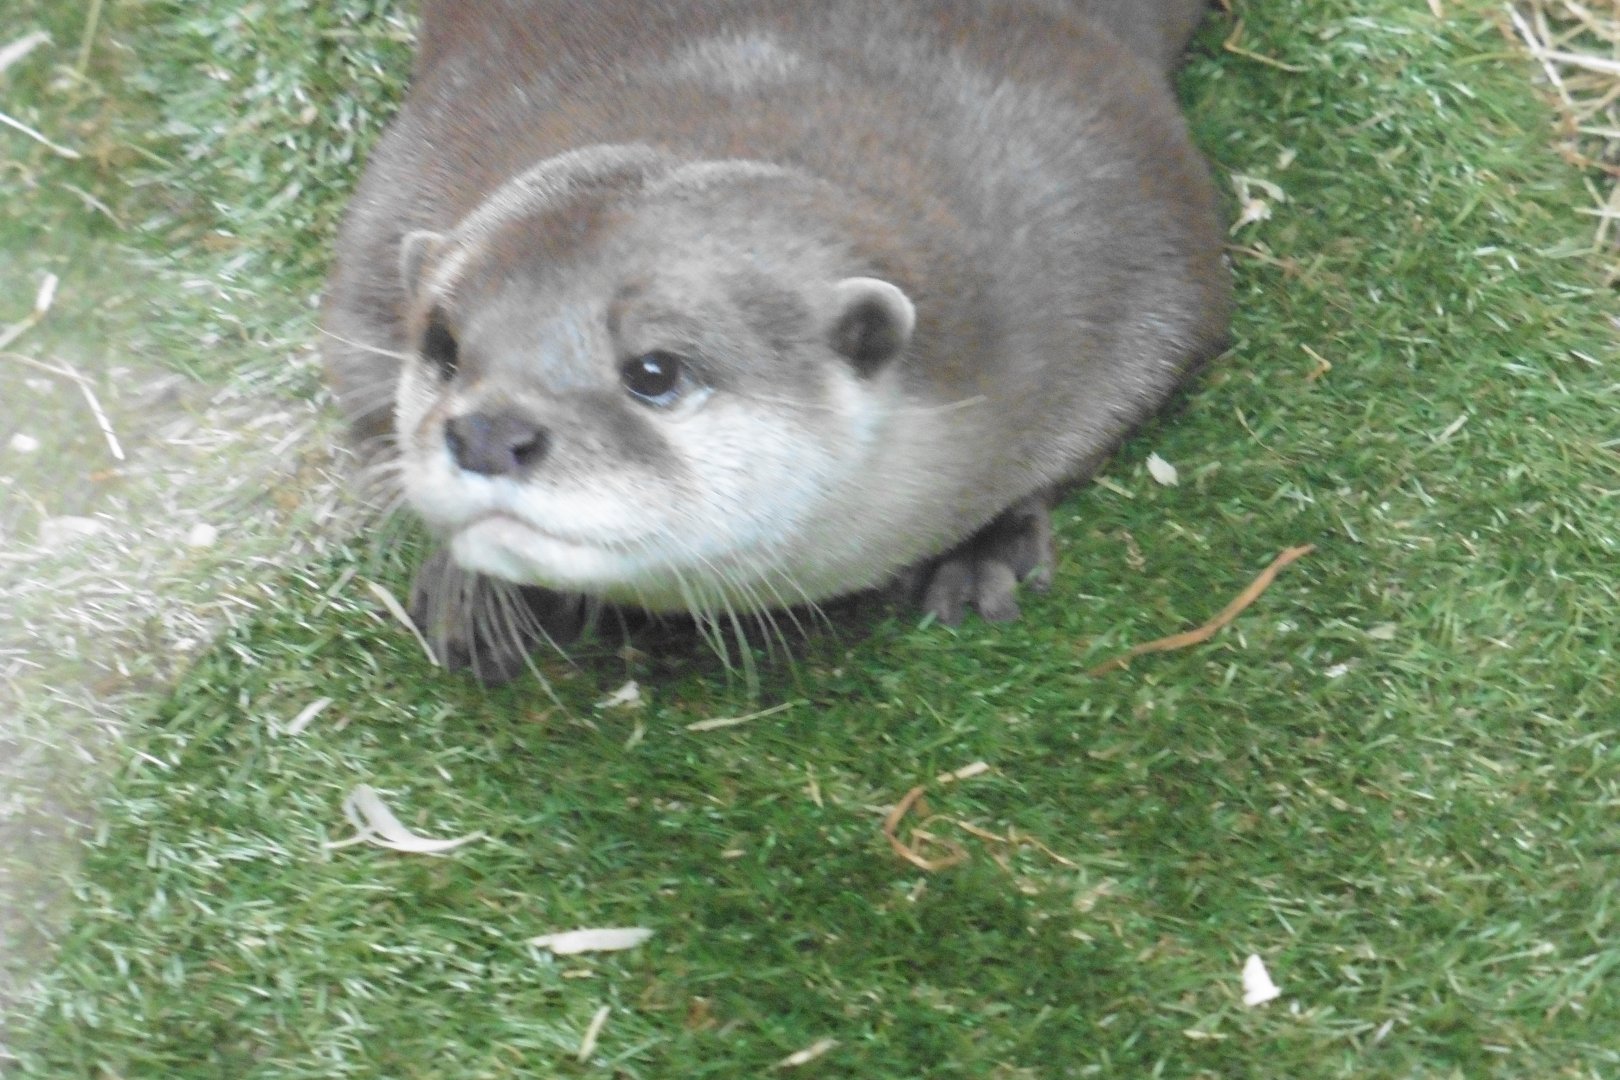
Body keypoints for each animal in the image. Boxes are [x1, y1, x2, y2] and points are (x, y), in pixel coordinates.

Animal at [322, 0, 1231, 682]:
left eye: (654, 371)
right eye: (443, 345)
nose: (487, 433)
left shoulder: (1124, 221)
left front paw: (983, 550)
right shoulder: (402, 196)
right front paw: (470, 593)